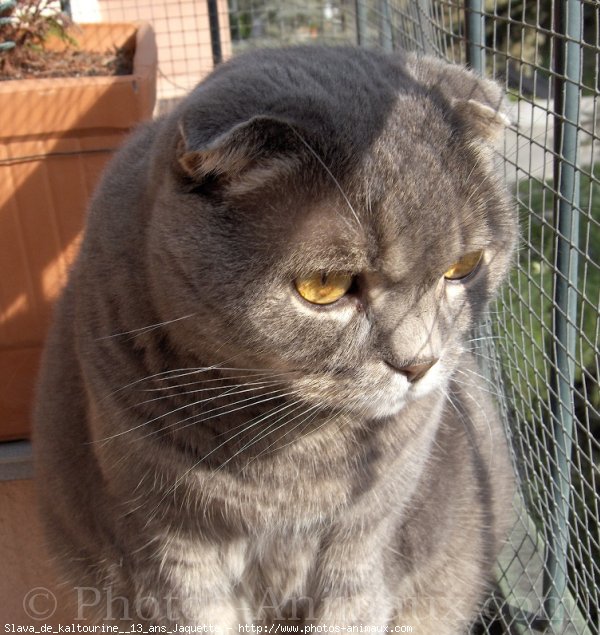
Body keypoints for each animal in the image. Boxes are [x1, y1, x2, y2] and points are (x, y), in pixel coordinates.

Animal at [34, 46, 516, 632]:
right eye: (324, 285)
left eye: (464, 267)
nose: (418, 362)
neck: (288, 467)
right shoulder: (169, 547)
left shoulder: (363, 542)